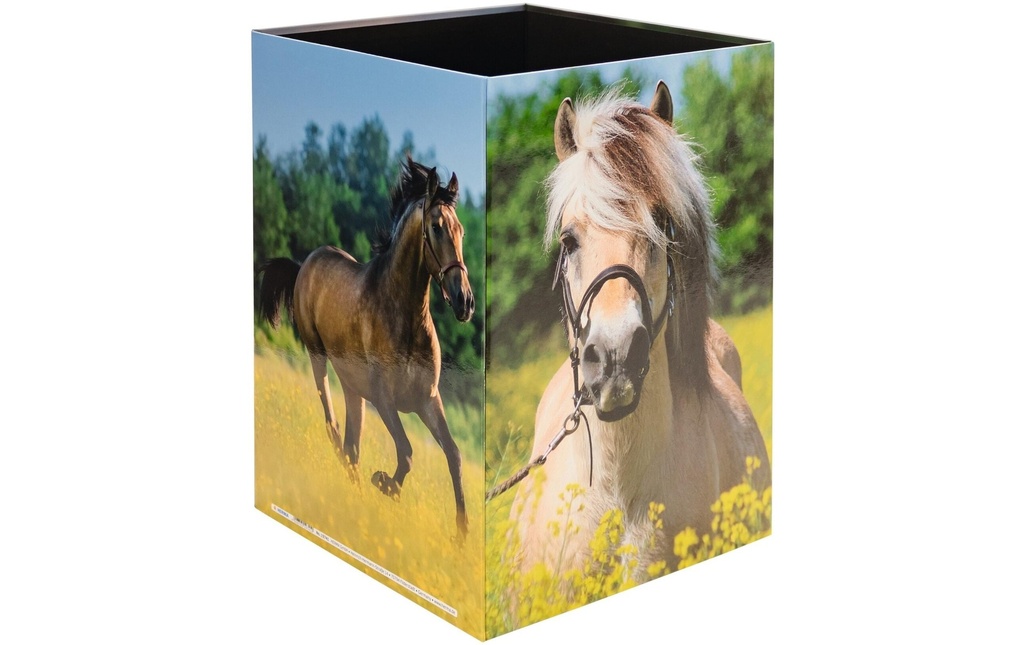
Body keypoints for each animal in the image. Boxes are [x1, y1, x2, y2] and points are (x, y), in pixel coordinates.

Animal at [258, 158, 473, 538]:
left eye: (460, 229)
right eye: (436, 227)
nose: (465, 302)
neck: (405, 315)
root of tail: (304, 264)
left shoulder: (427, 400)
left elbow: (454, 455)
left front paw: (462, 536)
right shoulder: (384, 398)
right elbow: (407, 452)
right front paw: (384, 483)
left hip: (353, 388)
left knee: (351, 446)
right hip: (318, 355)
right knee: (333, 428)